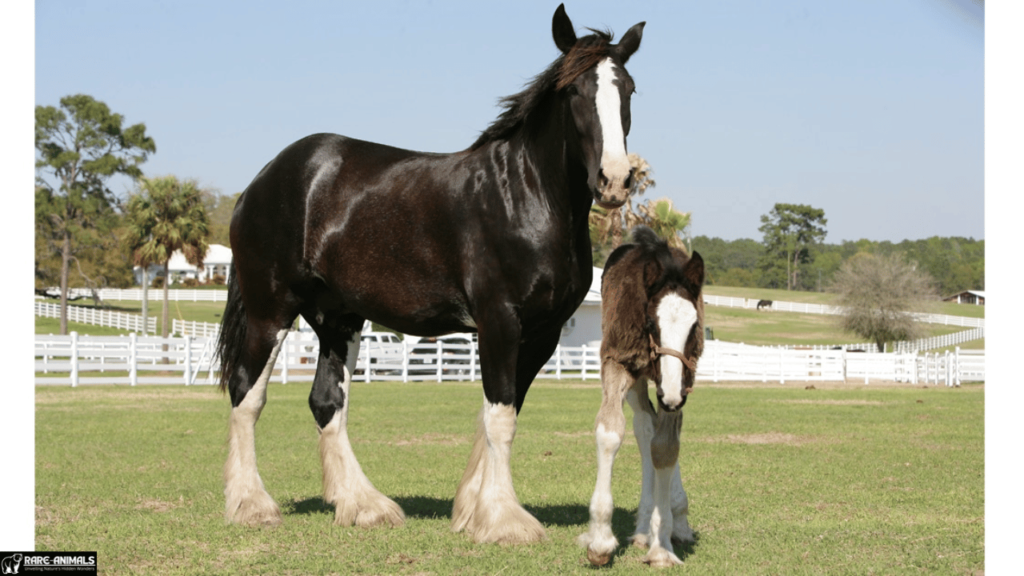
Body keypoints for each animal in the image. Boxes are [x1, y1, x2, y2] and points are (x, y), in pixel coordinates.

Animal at [217, 5, 647, 541]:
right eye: (573, 92)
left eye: (628, 89)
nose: (615, 180)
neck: (524, 197)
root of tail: (265, 179)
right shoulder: (499, 321)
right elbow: (500, 418)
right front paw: (504, 520)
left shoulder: (543, 333)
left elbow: (498, 412)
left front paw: (473, 510)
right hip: (270, 308)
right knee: (246, 393)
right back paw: (252, 504)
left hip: (338, 319)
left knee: (327, 402)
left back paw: (363, 504)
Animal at [581, 225, 708, 565]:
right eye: (651, 322)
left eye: (695, 325)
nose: (672, 396)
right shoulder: (617, 363)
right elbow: (610, 434)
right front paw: (600, 540)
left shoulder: (682, 381)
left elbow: (665, 448)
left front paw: (662, 545)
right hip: (639, 382)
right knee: (643, 425)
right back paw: (642, 527)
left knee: (654, 431)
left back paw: (674, 519)